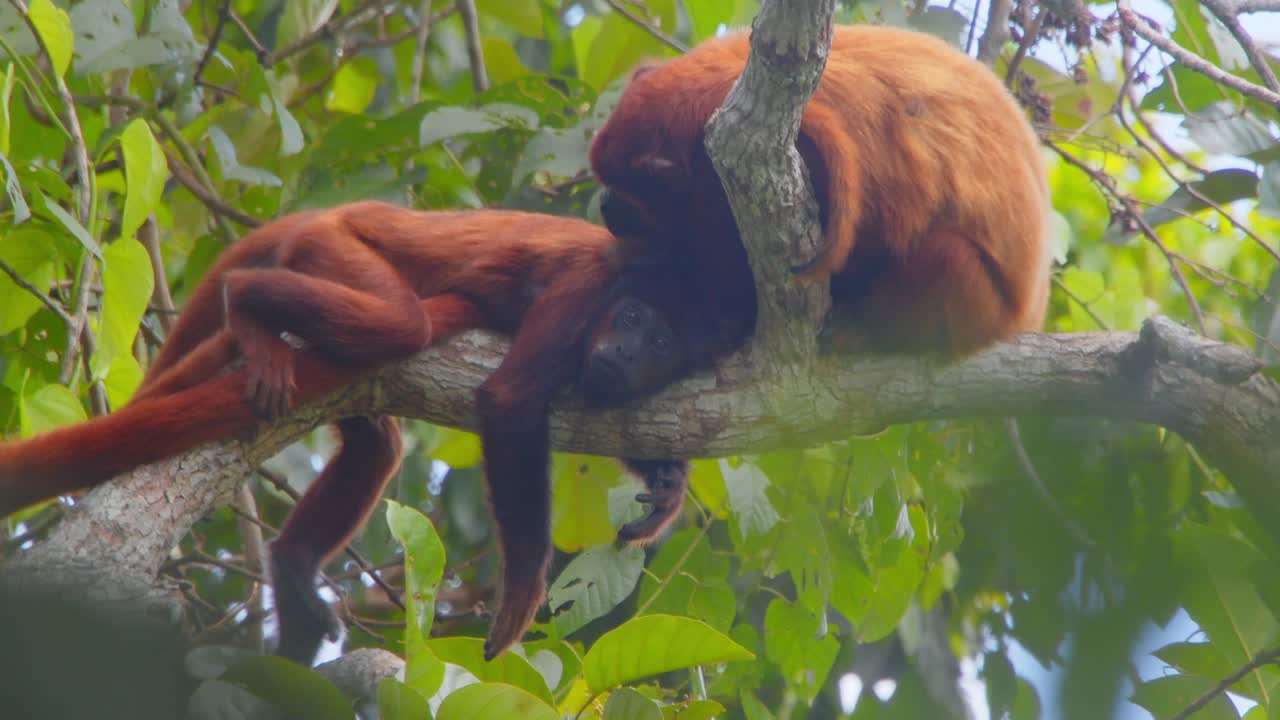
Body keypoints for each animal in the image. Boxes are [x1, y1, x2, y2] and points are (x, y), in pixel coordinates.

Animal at [0, 201, 716, 664]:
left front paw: (668, 486)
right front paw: (521, 593)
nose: (625, 352)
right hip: (335, 249)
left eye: (660, 345)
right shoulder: (582, 289)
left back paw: (293, 568)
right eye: (630, 318)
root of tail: (338, 209)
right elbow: (510, 398)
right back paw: (248, 304)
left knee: (378, 445)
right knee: (400, 326)